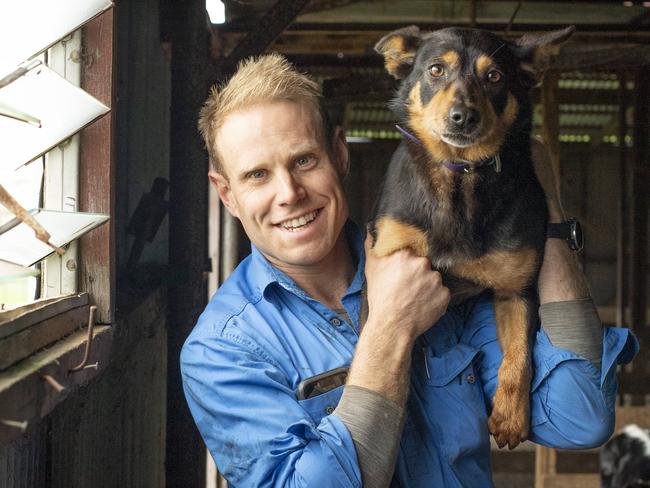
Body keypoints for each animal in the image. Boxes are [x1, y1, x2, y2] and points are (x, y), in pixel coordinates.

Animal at [370, 24, 572, 448]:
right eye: (435, 70)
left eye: (494, 76)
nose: (463, 117)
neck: (460, 176)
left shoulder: (516, 291)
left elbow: (519, 359)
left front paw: (511, 418)